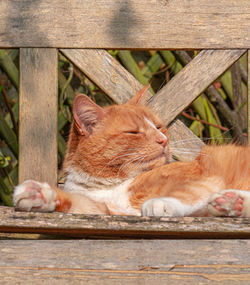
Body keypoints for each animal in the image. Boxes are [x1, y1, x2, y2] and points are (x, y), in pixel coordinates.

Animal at [13, 87, 250, 216]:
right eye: (133, 132)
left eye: (159, 126)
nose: (163, 140)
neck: (110, 185)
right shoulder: (106, 211)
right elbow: (77, 203)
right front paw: (40, 195)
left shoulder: (202, 176)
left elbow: (184, 192)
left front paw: (159, 204)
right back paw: (232, 203)